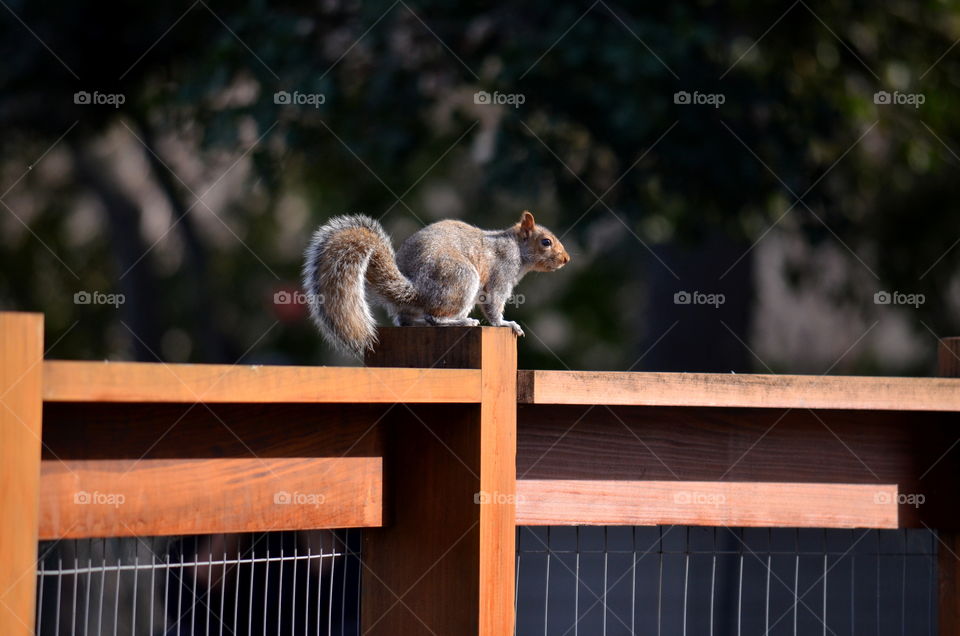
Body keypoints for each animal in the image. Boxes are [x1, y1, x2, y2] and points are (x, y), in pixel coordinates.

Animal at [302, 211, 570, 356]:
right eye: (546, 242)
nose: (566, 259)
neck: (515, 247)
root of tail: (416, 290)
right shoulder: (501, 272)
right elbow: (494, 303)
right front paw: (505, 324)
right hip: (462, 278)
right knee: (435, 317)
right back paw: (463, 321)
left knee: (407, 320)